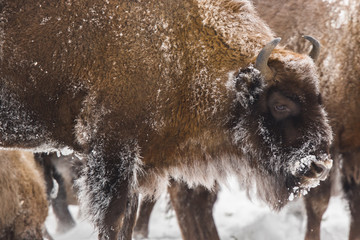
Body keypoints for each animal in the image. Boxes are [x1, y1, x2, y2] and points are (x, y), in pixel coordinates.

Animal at [0, 0, 332, 239]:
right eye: (280, 104)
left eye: (319, 98)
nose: (319, 166)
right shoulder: (111, 152)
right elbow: (113, 220)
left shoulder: (136, 164)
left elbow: (128, 219)